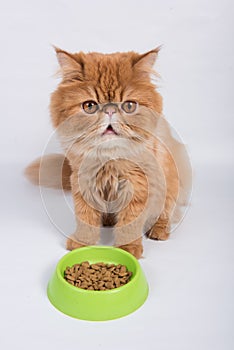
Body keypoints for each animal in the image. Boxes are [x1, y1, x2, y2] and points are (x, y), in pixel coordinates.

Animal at [24, 47, 191, 258]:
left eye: (129, 105)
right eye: (89, 106)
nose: (110, 111)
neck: (108, 158)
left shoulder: (138, 183)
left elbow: (130, 222)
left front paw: (128, 249)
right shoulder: (83, 180)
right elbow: (85, 217)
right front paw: (83, 242)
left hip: (170, 183)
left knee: (167, 212)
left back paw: (158, 231)